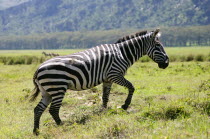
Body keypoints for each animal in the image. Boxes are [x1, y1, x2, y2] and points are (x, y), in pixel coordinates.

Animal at [30, 28, 169, 135]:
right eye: (158, 46)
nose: (167, 63)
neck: (122, 53)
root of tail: (38, 69)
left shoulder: (108, 79)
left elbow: (105, 97)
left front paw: (103, 112)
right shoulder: (115, 75)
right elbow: (131, 87)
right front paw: (125, 105)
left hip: (47, 91)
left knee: (38, 109)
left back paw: (36, 131)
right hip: (58, 88)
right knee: (53, 109)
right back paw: (62, 125)